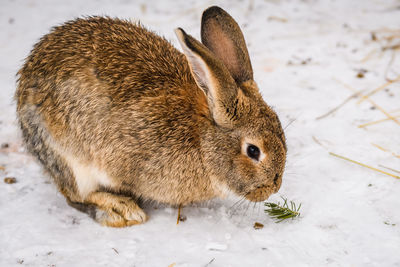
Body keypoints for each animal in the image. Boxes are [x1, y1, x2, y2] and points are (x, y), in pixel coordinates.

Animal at [15, 5, 284, 228]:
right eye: (253, 151)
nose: (274, 186)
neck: (201, 138)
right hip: (67, 157)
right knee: (75, 195)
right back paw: (121, 211)